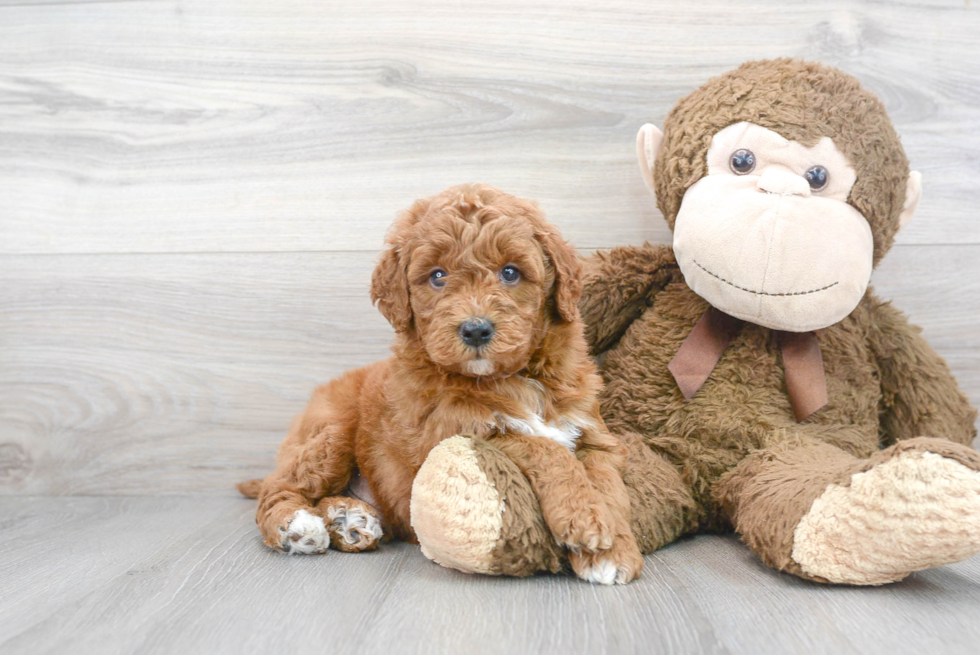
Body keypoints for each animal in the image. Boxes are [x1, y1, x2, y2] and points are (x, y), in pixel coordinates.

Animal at [239, 183, 644, 584]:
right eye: (437, 276)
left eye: (510, 273)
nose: (476, 329)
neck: (512, 377)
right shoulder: (456, 431)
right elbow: (544, 447)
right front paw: (584, 521)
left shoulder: (593, 434)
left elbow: (610, 486)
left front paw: (613, 550)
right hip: (332, 431)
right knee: (279, 487)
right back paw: (299, 527)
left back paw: (349, 519)